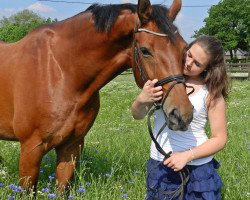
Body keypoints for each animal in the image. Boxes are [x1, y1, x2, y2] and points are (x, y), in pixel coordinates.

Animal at [0, 0, 193, 193]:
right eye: (145, 50)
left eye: (184, 49)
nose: (182, 114)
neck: (59, 71)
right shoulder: (31, 149)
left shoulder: (72, 146)